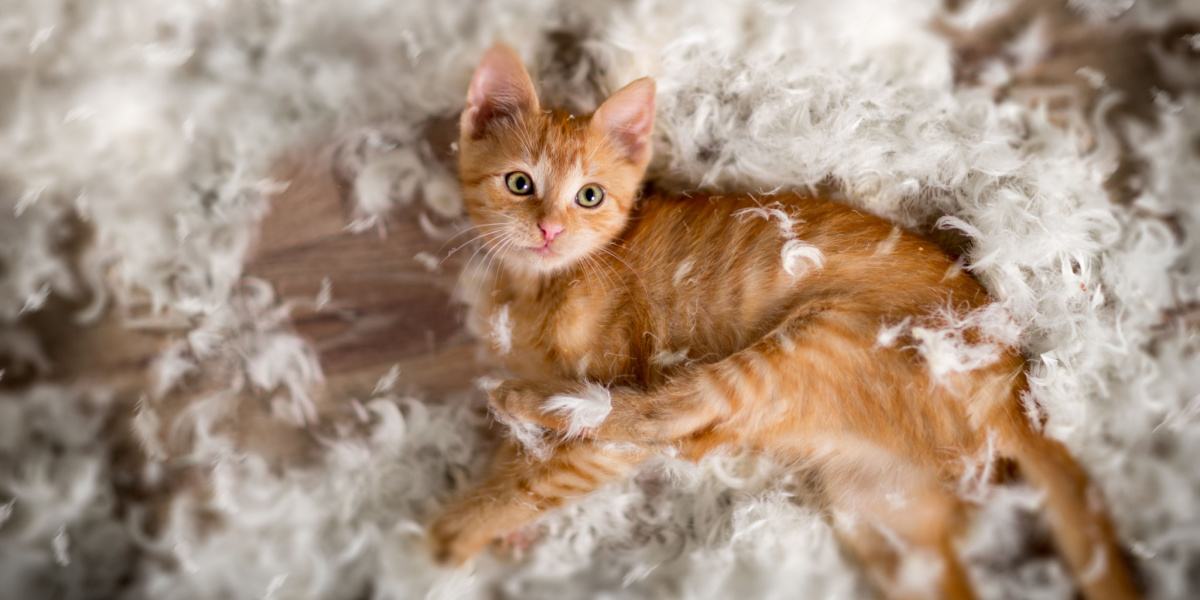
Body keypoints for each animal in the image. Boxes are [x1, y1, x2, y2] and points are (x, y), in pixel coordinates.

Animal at [427, 43, 1137, 600]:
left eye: (590, 196)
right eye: (520, 184)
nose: (549, 229)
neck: (539, 287)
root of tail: (1017, 391)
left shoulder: (607, 432)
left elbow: (546, 476)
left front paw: (456, 533)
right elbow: (524, 466)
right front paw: (504, 511)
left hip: (814, 340)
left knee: (663, 412)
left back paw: (526, 402)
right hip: (880, 512)